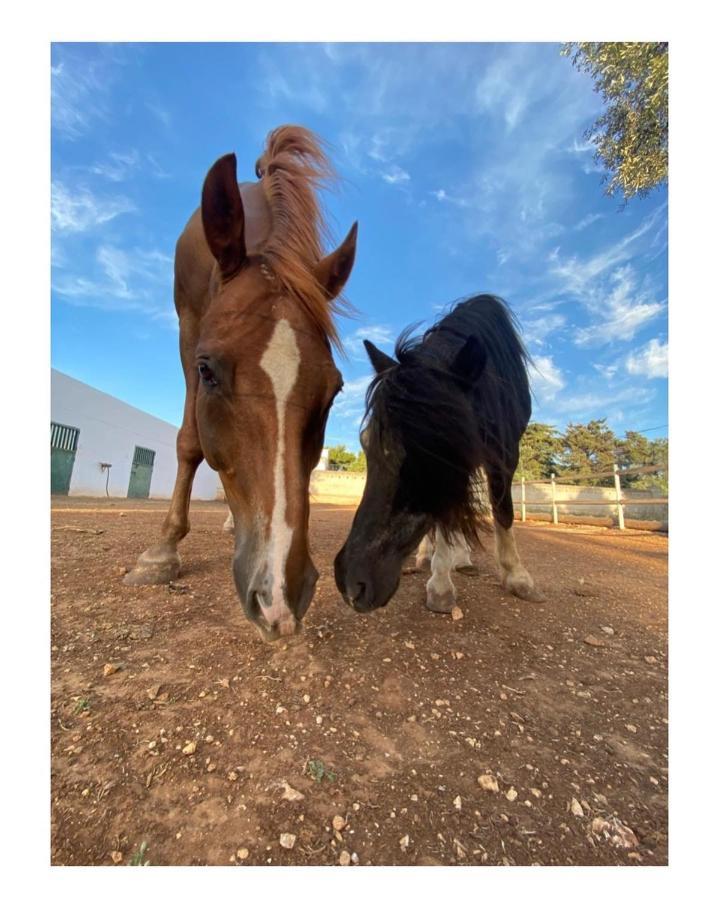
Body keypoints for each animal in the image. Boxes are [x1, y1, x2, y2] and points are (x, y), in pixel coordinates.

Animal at [127, 126, 360, 640]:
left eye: (333, 391)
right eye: (207, 371)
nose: (280, 595)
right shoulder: (189, 325)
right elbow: (190, 441)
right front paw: (162, 551)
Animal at [334, 294, 536, 612]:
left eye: (438, 445)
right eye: (365, 442)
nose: (352, 582)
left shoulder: (505, 452)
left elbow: (503, 511)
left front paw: (517, 576)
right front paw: (440, 584)